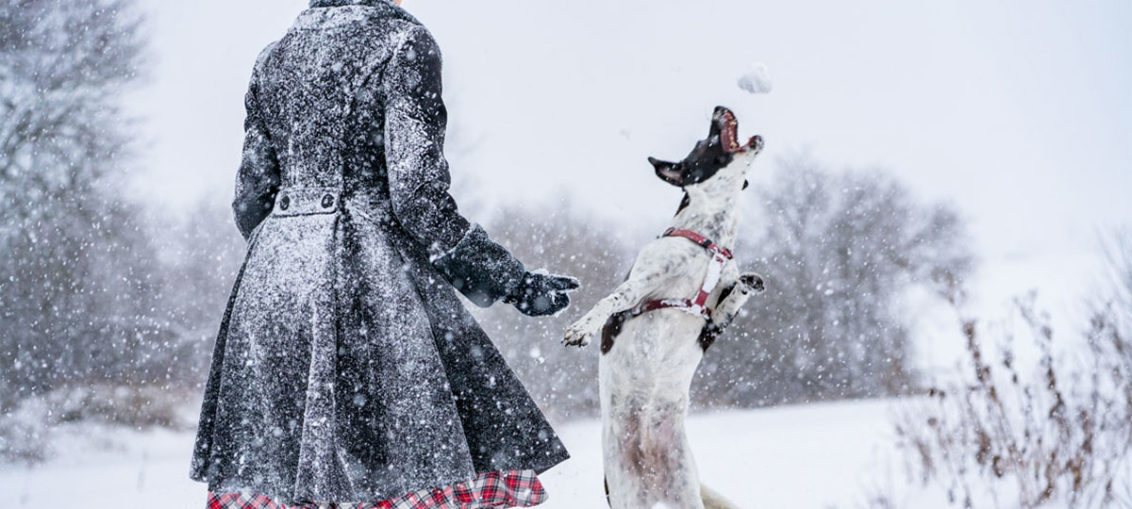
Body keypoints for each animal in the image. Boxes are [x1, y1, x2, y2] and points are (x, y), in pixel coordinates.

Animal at [563, 106, 765, 509]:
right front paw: (582, 328)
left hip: (685, 491)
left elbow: (734, 297)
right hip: (626, 496)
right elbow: (609, 300)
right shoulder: (639, 288)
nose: (719, 107)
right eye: (704, 141)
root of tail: (650, 469)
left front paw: (747, 284)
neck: (709, 241)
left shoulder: (712, 325)